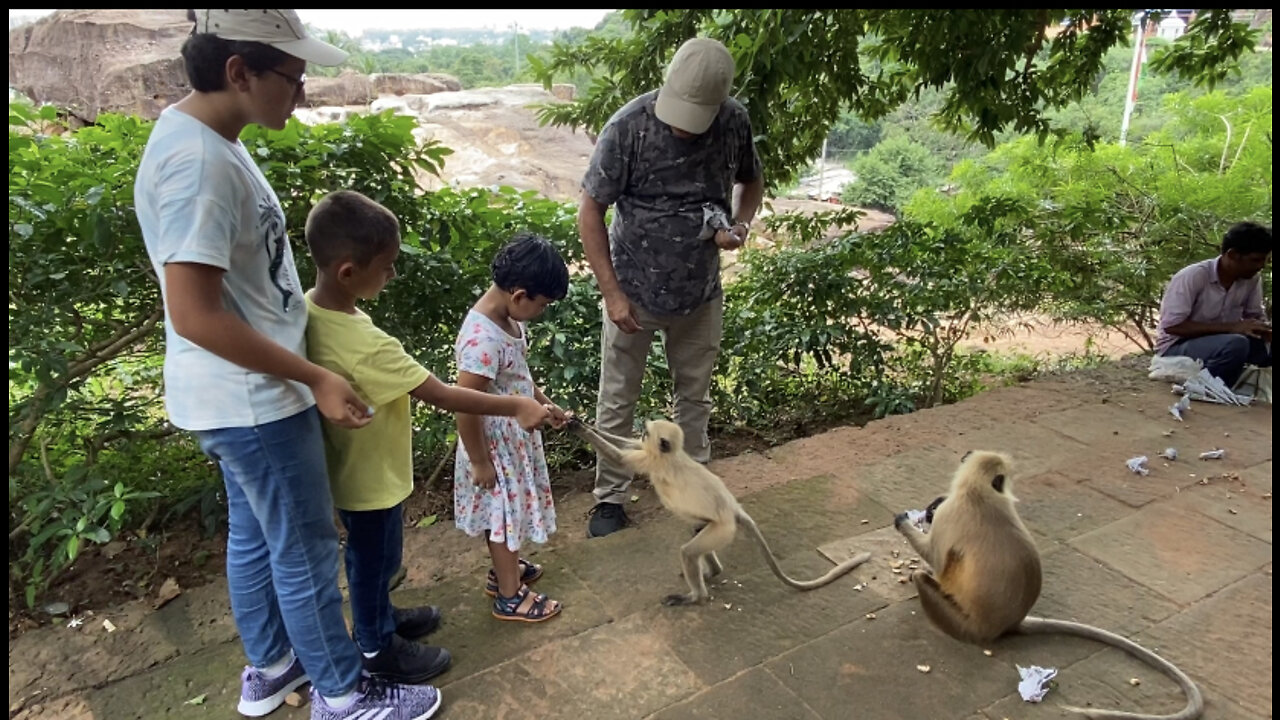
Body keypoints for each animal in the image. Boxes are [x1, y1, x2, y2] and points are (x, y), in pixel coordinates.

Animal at [568, 415, 870, 604]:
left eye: (647, 431)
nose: (642, 428)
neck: (671, 456)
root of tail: (733, 509)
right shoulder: (648, 452)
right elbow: (625, 443)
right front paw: (579, 421)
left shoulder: (652, 460)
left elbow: (619, 457)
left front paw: (580, 430)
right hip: (710, 523)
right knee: (696, 533)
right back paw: (711, 573)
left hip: (722, 529)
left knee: (689, 552)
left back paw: (696, 596)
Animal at [896, 450, 1203, 712]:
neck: (979, 493)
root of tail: (1011, 623)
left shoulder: (951, 512)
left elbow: (936, 559)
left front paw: (905, 522)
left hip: (965, 625)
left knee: (924, 578)